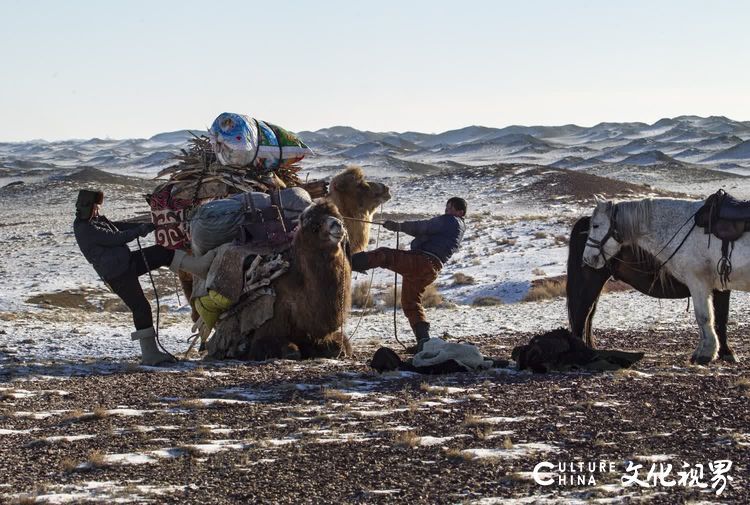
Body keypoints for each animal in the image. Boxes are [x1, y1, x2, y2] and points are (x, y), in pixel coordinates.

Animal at [207, 199, 354, 360]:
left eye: (338, 216)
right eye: (314, 225)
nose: (338, 225)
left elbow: (340, 345)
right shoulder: (268, 327)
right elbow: (286, 350)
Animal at [584, 195, 748, 364]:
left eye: (595, 225)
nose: (587, 258)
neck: (683, 228)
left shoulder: (698, 283)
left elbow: (703, 317)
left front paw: (706, 353)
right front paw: (702, 351)